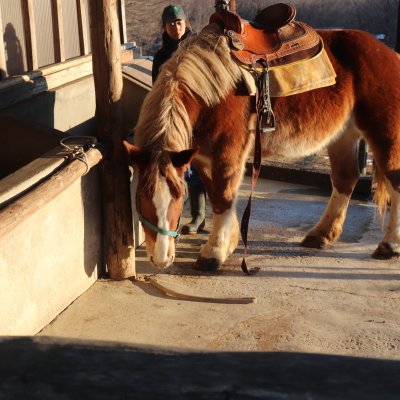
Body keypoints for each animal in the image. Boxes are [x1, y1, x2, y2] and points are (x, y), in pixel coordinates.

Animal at [123, 21, 400, 272]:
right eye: (139, 197)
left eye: (180, 196)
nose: (161, 259)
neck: (210, 92)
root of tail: (389, 53)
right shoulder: (202, 158)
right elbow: (216, 194)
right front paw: (229, 242)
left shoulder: (227, 153)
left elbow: (222, 196)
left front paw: (214, 252)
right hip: (343, 135)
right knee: (345, 178)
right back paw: (321, 234)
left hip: (384, 134)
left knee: (393, 180)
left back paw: (389, 245)